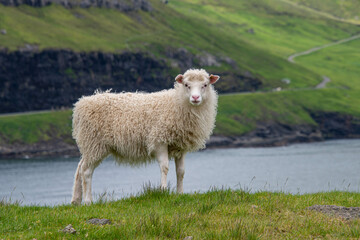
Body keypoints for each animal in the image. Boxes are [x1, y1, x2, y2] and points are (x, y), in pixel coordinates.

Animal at [70, 68, 219, 204]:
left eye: (205, 85)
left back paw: (76, 200)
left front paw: (180, 193)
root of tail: (80, 105)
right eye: (187, 85)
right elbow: (164, 167)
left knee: (79, 167)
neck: (177, 103)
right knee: (86, 171)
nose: (195, 98)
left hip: (89, 145)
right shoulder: (159, 140)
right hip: (94, 143)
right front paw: (163, 191)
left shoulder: (180, 146)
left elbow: (181, 171)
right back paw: (88, 201)